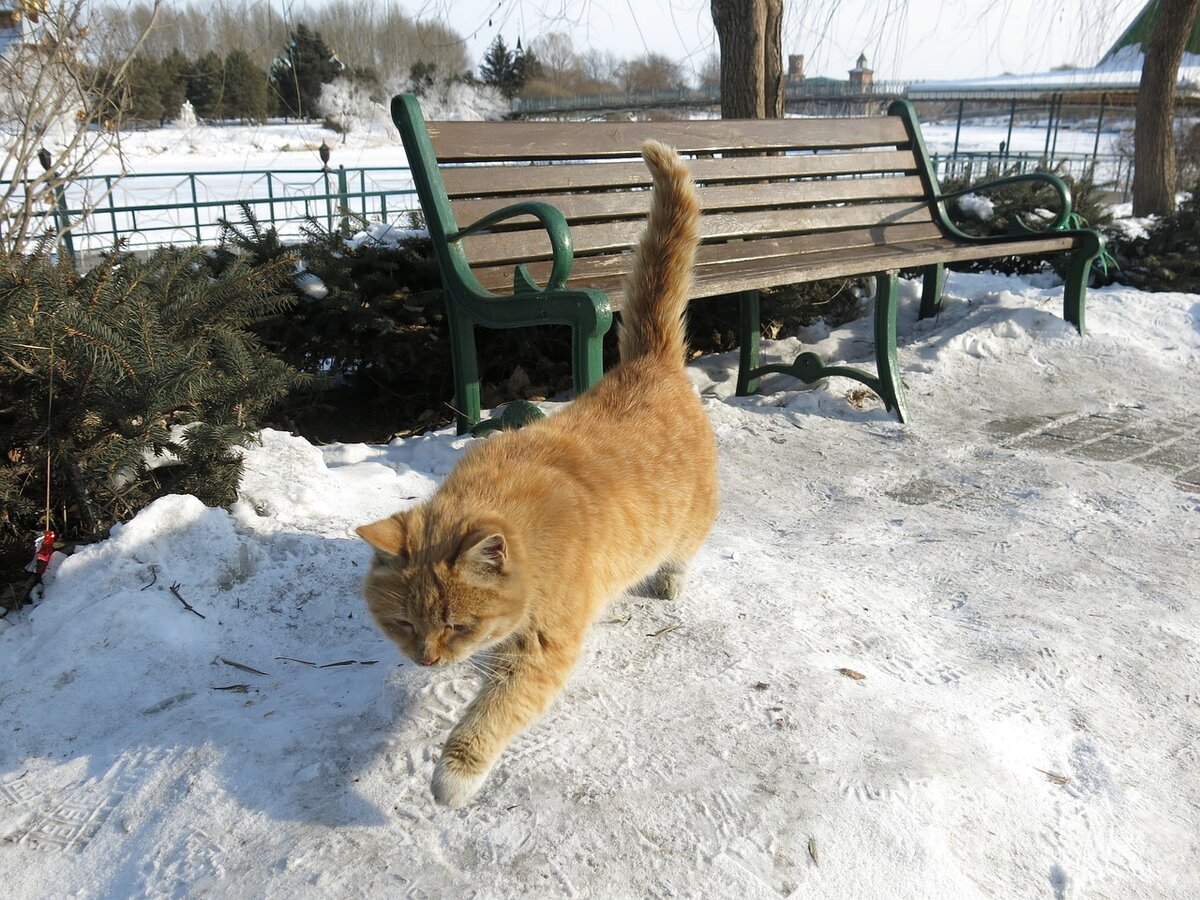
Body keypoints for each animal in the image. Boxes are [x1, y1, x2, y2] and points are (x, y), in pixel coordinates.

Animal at [350, 142, 715, 811]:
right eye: (404, 624)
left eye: (457, 625)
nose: (427, 662)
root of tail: (649, 363)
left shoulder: (545, 647)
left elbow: (496, 710)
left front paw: (453, 773)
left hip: (690, 520)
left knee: (684, 550)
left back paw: (670, 580)